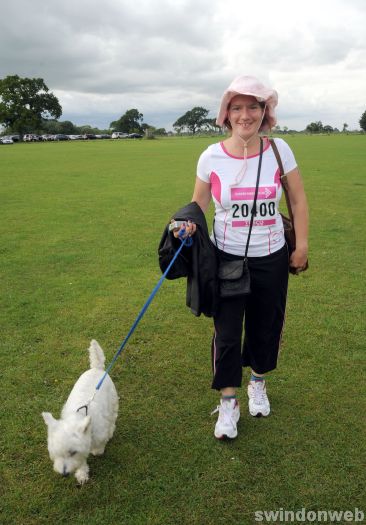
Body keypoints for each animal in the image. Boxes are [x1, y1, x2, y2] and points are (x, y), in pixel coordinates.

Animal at [41, 340, 118, 484]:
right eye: (56, 452)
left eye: (72, 452)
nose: (64, 473)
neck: (79, 415)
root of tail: (97, 368)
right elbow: (82, 460)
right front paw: (82, 474)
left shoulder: (100, 433)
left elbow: (98, 447)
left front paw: (97, 451)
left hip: (113, 402)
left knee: (113, 418)